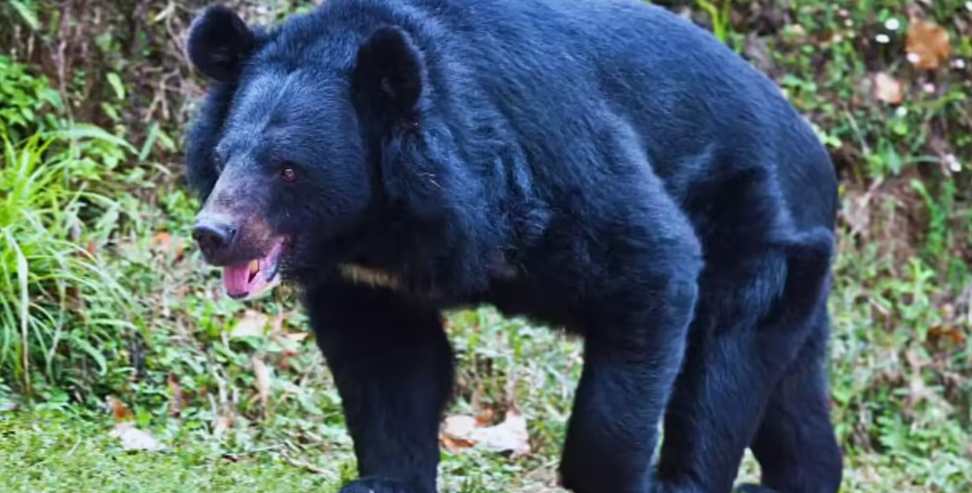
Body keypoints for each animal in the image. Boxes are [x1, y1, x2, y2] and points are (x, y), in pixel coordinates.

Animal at [184, 1, 842, 492]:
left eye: (288, 169)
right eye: (222, 158)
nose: (214, 234)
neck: (379, 224)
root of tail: (818, 155)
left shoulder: (550, 161)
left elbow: (651, 262)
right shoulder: (367, 279)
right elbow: (387, 362)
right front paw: (383, 482)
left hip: (757, 235)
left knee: (722, 369)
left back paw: (687, 482)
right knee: (790, 390)